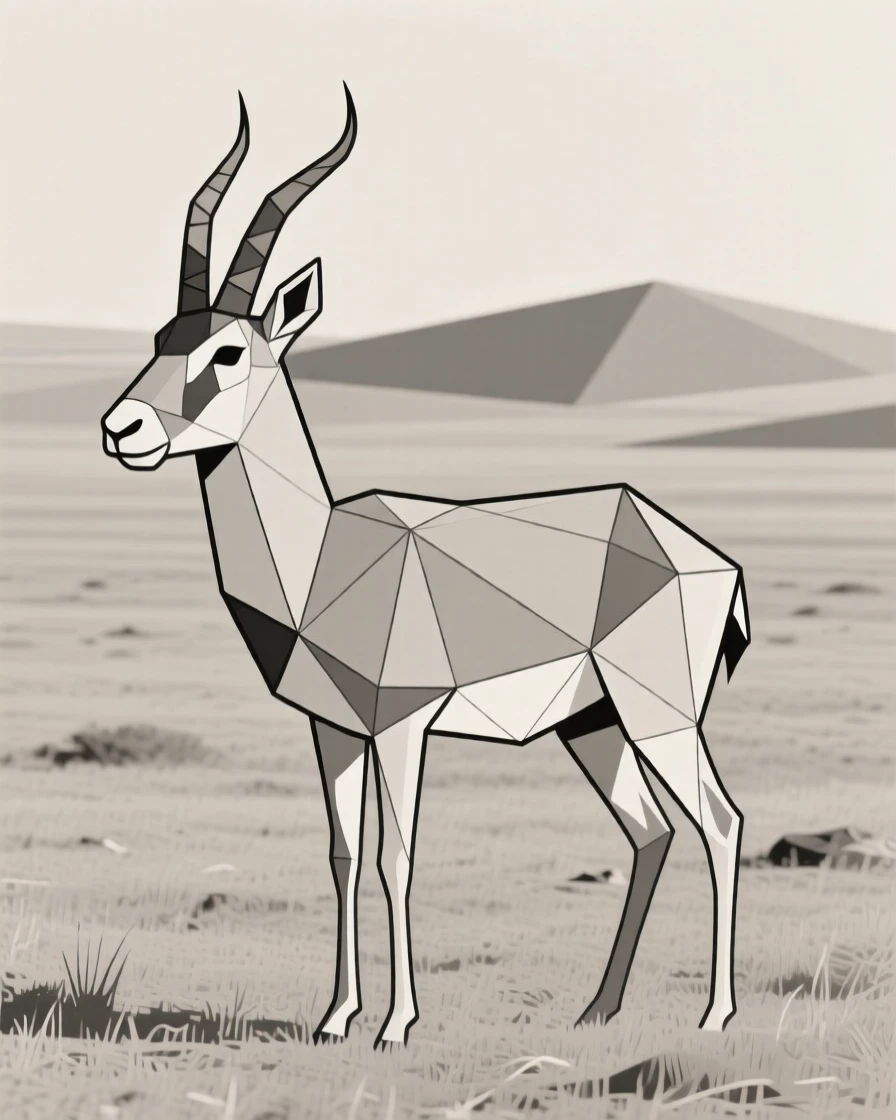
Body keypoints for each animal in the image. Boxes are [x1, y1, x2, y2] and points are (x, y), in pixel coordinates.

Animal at [101, 86, 751, 1048]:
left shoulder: (404, 725)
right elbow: (341, 854)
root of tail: (707, 557)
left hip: (660, 714)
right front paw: (334, 1017)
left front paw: (395, 1024)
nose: (123, 430)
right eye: (160, 336)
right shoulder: (331, 728)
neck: (323, 560)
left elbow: (397, 857)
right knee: (650, 832)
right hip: (592, 724)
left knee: (721, 822)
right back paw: (595, 1010)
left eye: (228, 351)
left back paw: (713, 1017)